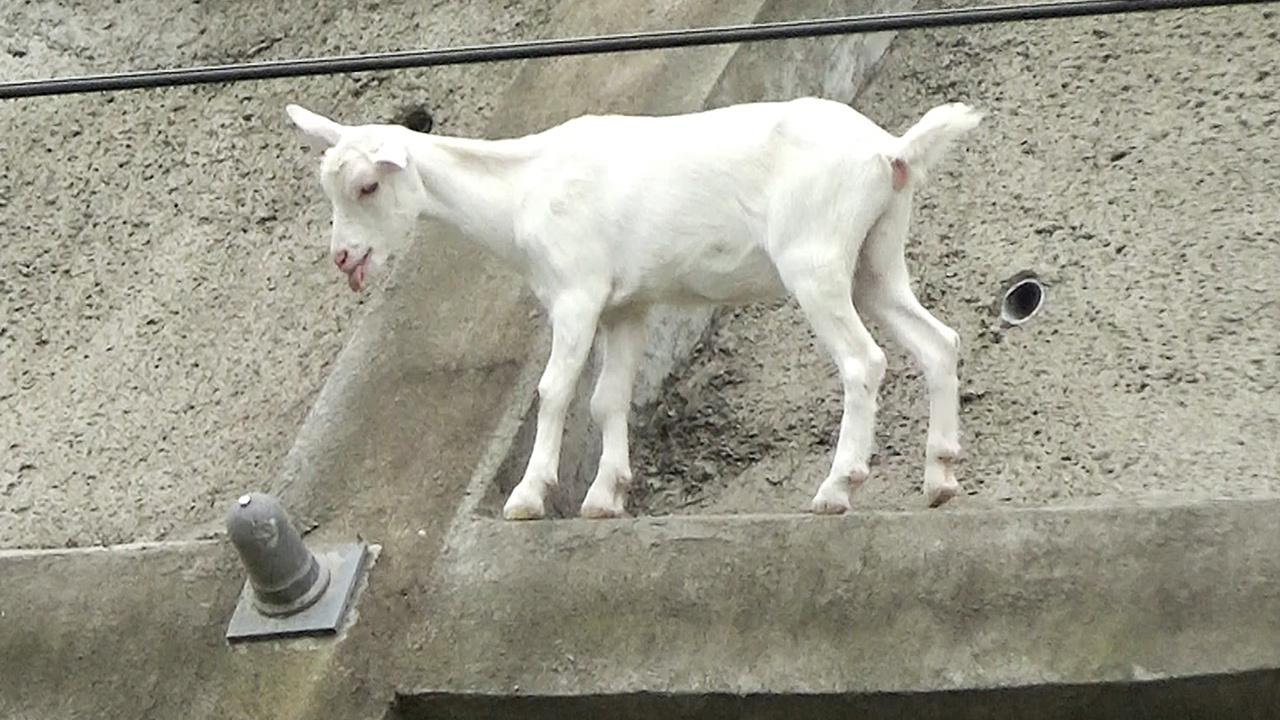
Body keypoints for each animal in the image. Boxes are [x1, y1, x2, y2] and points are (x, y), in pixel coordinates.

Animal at [288, 98, 977, 517]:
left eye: (367, 186)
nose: (344, 258)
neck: (522, 190)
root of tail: (891, 150)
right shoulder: (627, 306)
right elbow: (608, 398)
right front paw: (605, 496)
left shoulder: (577, 294)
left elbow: (555, 390)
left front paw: (529, 496)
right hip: (874, 262)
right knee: (938, 341)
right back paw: (940, 478)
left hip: (815, 259)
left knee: (864, 361)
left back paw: (838, 486)